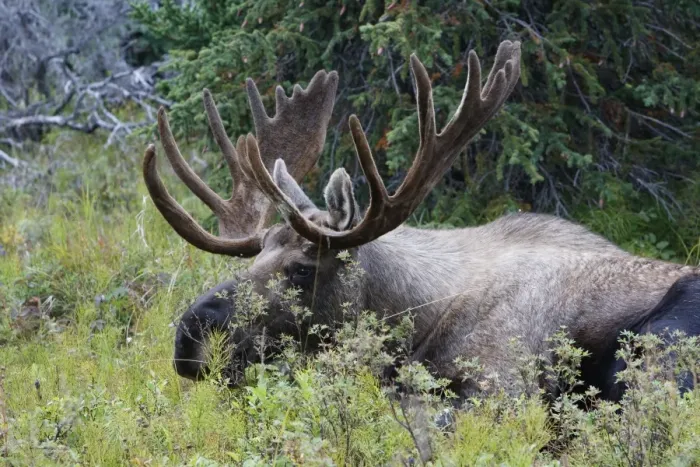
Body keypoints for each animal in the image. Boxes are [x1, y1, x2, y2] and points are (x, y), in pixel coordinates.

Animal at [142, 40, 700, 405]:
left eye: (303, 268)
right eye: (257, 253)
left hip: (661, 347)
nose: (190, 336)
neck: (417, 319)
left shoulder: (502, 387)